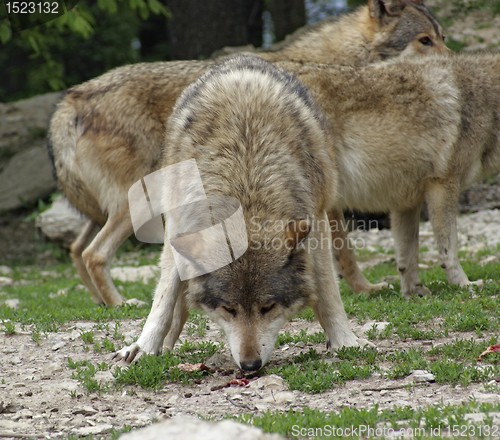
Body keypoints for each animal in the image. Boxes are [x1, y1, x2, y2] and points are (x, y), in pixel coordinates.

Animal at [49, 0, 450, 306]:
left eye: (442, 38)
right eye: (424, 40)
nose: (453, 61)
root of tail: (71, 99)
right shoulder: (327, 185)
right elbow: (346, 249)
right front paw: (364, 289)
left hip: (103, 210)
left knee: (76, 250)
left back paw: (101, 303)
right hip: (140, 203)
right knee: (94, 254)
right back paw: (121, 304)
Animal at [114, 55, 364, 370]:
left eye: (268, 307)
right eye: (229, 309)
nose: (250, 365)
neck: (245, 173)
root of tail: (242, 57)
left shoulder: (315, 218)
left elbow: (328, 290)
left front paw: (344, 340)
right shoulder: (177, 225)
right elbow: (165, 296)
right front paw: (144, 346)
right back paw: (165, 345)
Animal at [278, 52, 500, 300]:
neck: (485, 99)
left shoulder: (406, 202)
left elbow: (407, 257)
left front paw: (414, 292)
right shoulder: (443, 184)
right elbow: (448, 249)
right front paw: (463, 283)